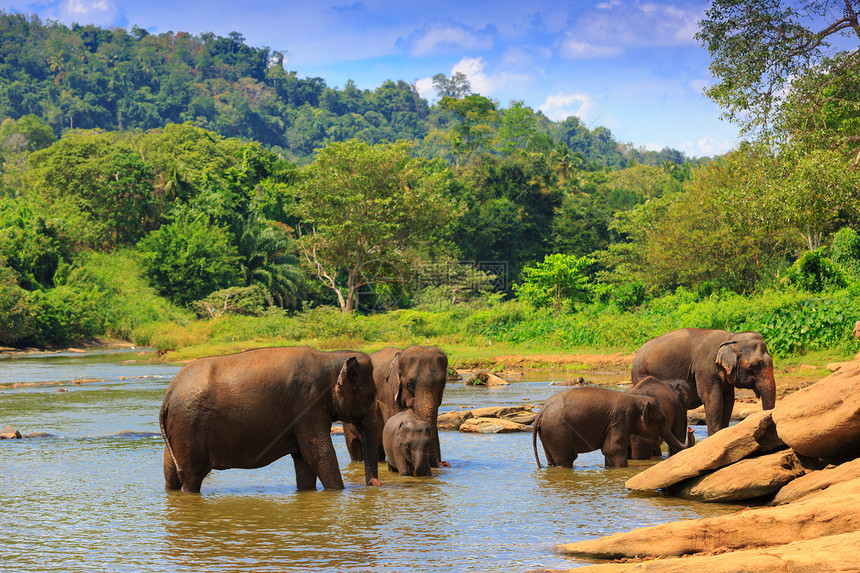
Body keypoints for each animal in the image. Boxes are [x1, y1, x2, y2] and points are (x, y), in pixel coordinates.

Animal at [158, 346, 380, 494]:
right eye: (370, 396)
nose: (376, 484)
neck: (331, 356)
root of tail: (169, 394)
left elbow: (303, 460)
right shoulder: (309, 405)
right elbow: (319, 455)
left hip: (177, 428)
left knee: (171, 472)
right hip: (190, 425)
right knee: (191, 476)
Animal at [536, 384, 688, 470]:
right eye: (661, 421)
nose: (691, 430)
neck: (636, 400)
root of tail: (542, 411)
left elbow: (608, 451)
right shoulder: (620, 419)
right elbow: (613, 449)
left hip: (548, 434)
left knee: (552, 460)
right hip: (558, 432)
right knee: (567, 458)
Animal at [628, 328, 776, 436]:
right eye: (755, 365)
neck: (731, 338)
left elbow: (728, 400)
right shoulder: (706, 369)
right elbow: (713, 398)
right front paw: (714, 436)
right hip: (640, 374)